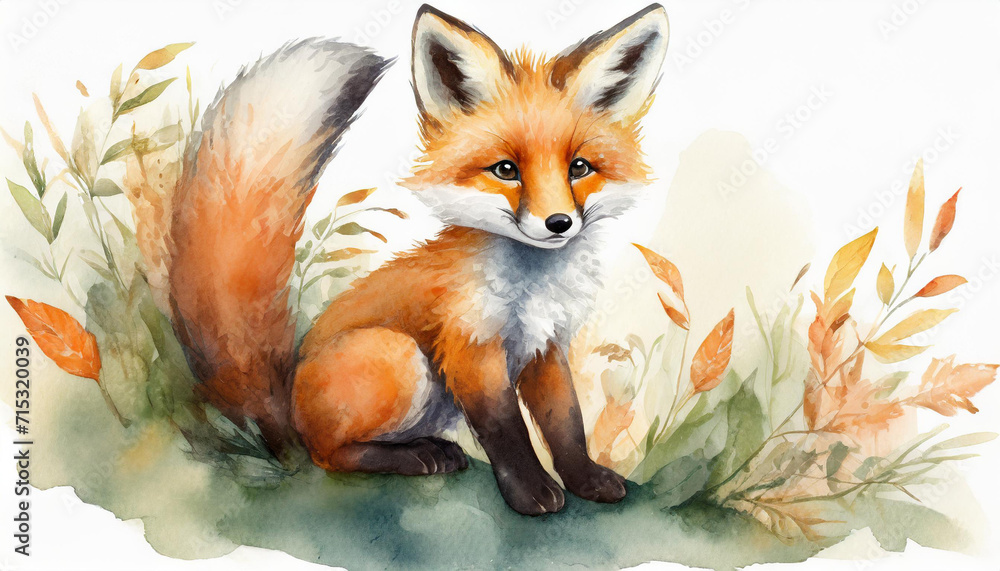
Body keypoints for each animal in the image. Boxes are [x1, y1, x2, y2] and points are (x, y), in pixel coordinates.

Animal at [162, 4, 669, 515]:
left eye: (579, 167)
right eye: (506, 170)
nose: (559, 223)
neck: (529, 292)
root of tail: (287, 412)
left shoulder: (545, 347)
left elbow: (565, 425)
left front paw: (586, 479)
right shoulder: (470, 348)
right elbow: (506, 433)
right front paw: (529, 492)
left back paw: (432, 449)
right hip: (398, 356)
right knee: (329, 455)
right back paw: (409, 458)